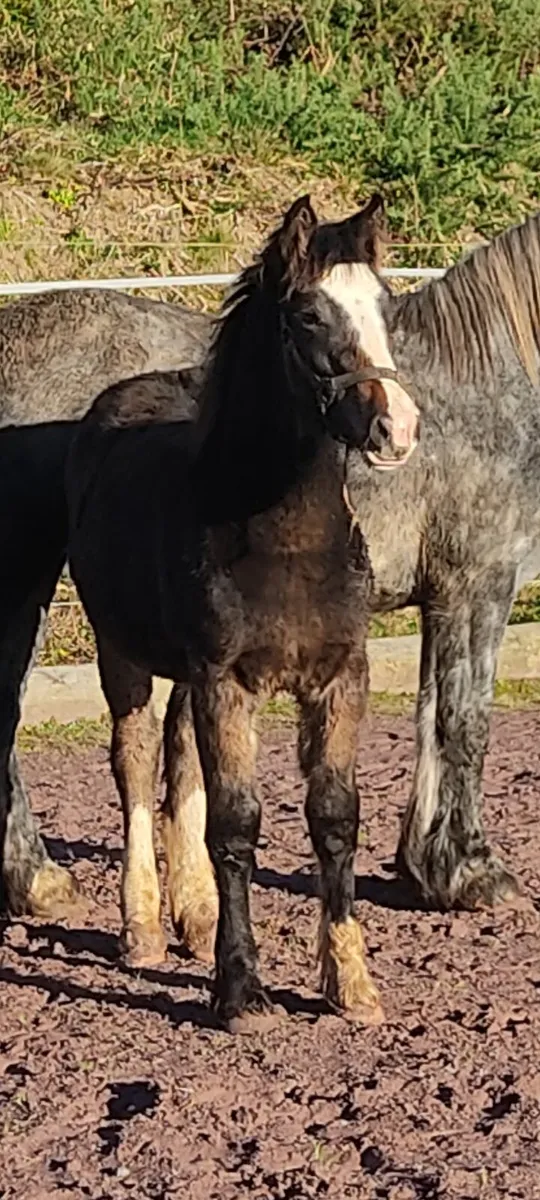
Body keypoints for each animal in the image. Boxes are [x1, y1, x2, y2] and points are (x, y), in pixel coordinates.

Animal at [65, 194, 419, 1031]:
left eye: (383, 306)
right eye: (310, 317)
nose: (399, 428)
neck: (283, 541)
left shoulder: (340, 677)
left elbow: (333, 815)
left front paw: (351, 983)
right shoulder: (226, 681)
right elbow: (236, 822)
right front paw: (241, 990)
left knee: (177, 761)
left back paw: (191, 915)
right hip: (123, 652)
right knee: (135, 765)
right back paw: (143, 927)